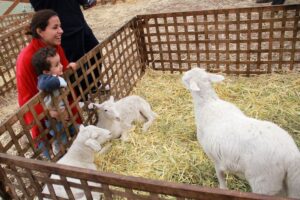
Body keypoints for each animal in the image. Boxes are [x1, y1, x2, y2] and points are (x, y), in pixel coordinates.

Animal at [180, 67, 300, 198]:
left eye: (186, 78)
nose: (182, 75)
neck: (207, 103)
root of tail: (291, 156)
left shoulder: (215, 159)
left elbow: (220, 175)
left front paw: (222, 189)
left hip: (265, 182)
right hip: (289, 182)